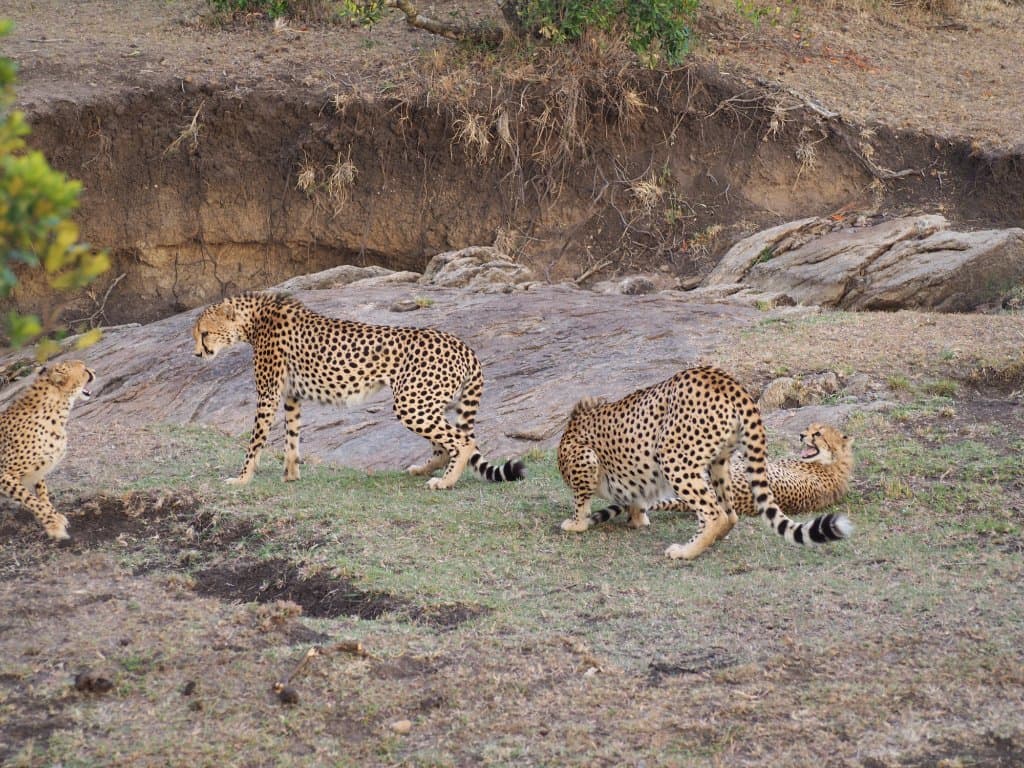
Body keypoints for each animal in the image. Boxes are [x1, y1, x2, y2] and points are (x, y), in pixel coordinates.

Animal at [0, 360, 95, 540]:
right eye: (84, 369)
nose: (93, 370)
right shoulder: (3, 475)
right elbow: (31, 500)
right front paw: (53, 525)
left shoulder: (39, 469)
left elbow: (42, 495)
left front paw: (55, 517)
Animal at [192, 290, 528, 489]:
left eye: (204, 333)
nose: (197, 354)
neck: (254, 318)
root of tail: (462, 344)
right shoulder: (291, 396)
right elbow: (292, 437)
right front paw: (291, 474)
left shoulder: (268, 394)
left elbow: (256, 441)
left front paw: (241, 478)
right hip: (432, 403)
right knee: (445, 445)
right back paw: (423, 470)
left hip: (411, 403)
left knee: (462, 441)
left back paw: (444, 483)